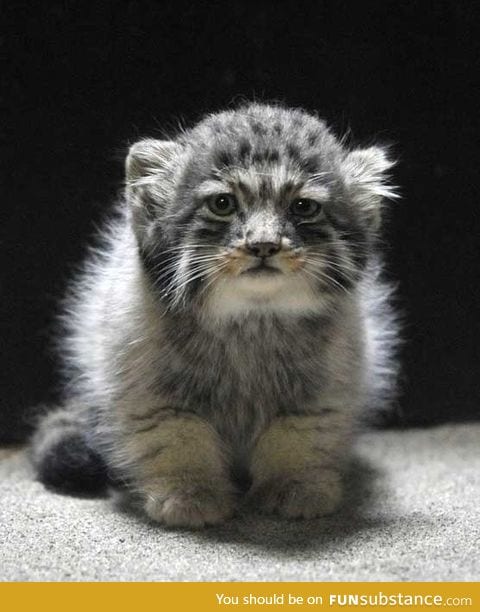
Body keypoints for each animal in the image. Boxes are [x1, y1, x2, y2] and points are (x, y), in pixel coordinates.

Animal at [30, 101, 398, 524]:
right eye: (222, 204)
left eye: (303, 207)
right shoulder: (149, 393)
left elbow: (295, 436)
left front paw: (296, 485)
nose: (263, 245)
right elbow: (179, 438)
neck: (250, 322)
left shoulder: (324, 391)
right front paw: (190, 493)